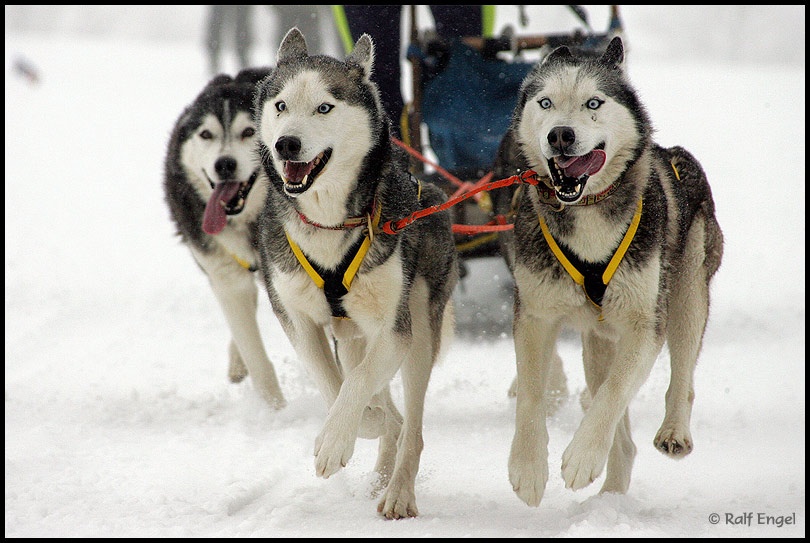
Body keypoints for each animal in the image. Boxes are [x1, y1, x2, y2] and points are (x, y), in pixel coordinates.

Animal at [163, 68, 286, 408]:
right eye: (206, 135)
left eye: (248, 131)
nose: (225, 164)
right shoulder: (227, 279)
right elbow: (256, 357)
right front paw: (275, 411)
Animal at [252, 28, 454, 520]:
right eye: (281, 105)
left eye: (324, 107)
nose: (286, 143)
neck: (328, 223)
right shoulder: (298, 321)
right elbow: (334, 385)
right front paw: (360, 426)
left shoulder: (394, 331)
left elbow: (358, 384)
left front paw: (335, 441)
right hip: (350, 337)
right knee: (387, 409)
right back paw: (382, 456)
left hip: (420, 335)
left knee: (412, 428)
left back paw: (398, 491)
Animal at [502, 37, 724, 506]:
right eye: (545, 103)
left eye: (593, 103)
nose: (560, 134)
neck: (586, 209)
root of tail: (673, 153)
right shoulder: (534, 315)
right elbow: (531, 392)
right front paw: (528, 467)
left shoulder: (644, 325)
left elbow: (616, 391)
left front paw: (583, 455)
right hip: (598, 340)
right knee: (619, 428)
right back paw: (610, 493)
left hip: (686, 295)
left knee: (681, 372)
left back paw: (673, 431)